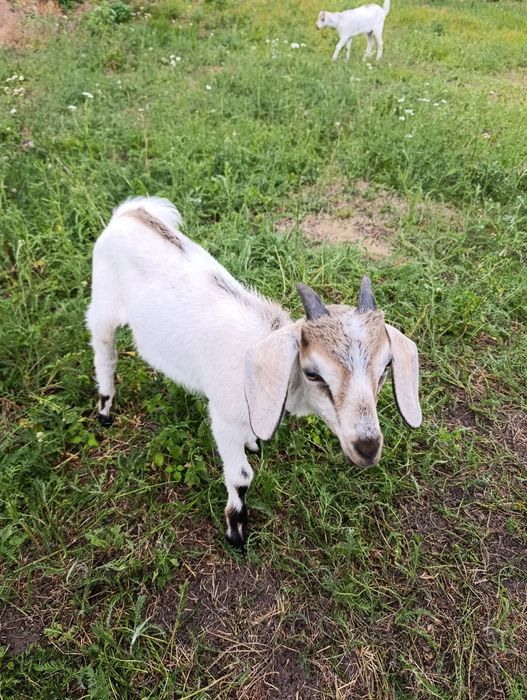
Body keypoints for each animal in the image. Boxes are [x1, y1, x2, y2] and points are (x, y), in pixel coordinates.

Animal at [86, 196, 421, 548]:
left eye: (385, 367)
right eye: (313, 373)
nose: (367, 448)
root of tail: (132, 213)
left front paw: (253, 442)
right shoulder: (222, 418)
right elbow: (241, 477)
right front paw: (236, 532)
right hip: (103, 308)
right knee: (104, 353)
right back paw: (105, 409)